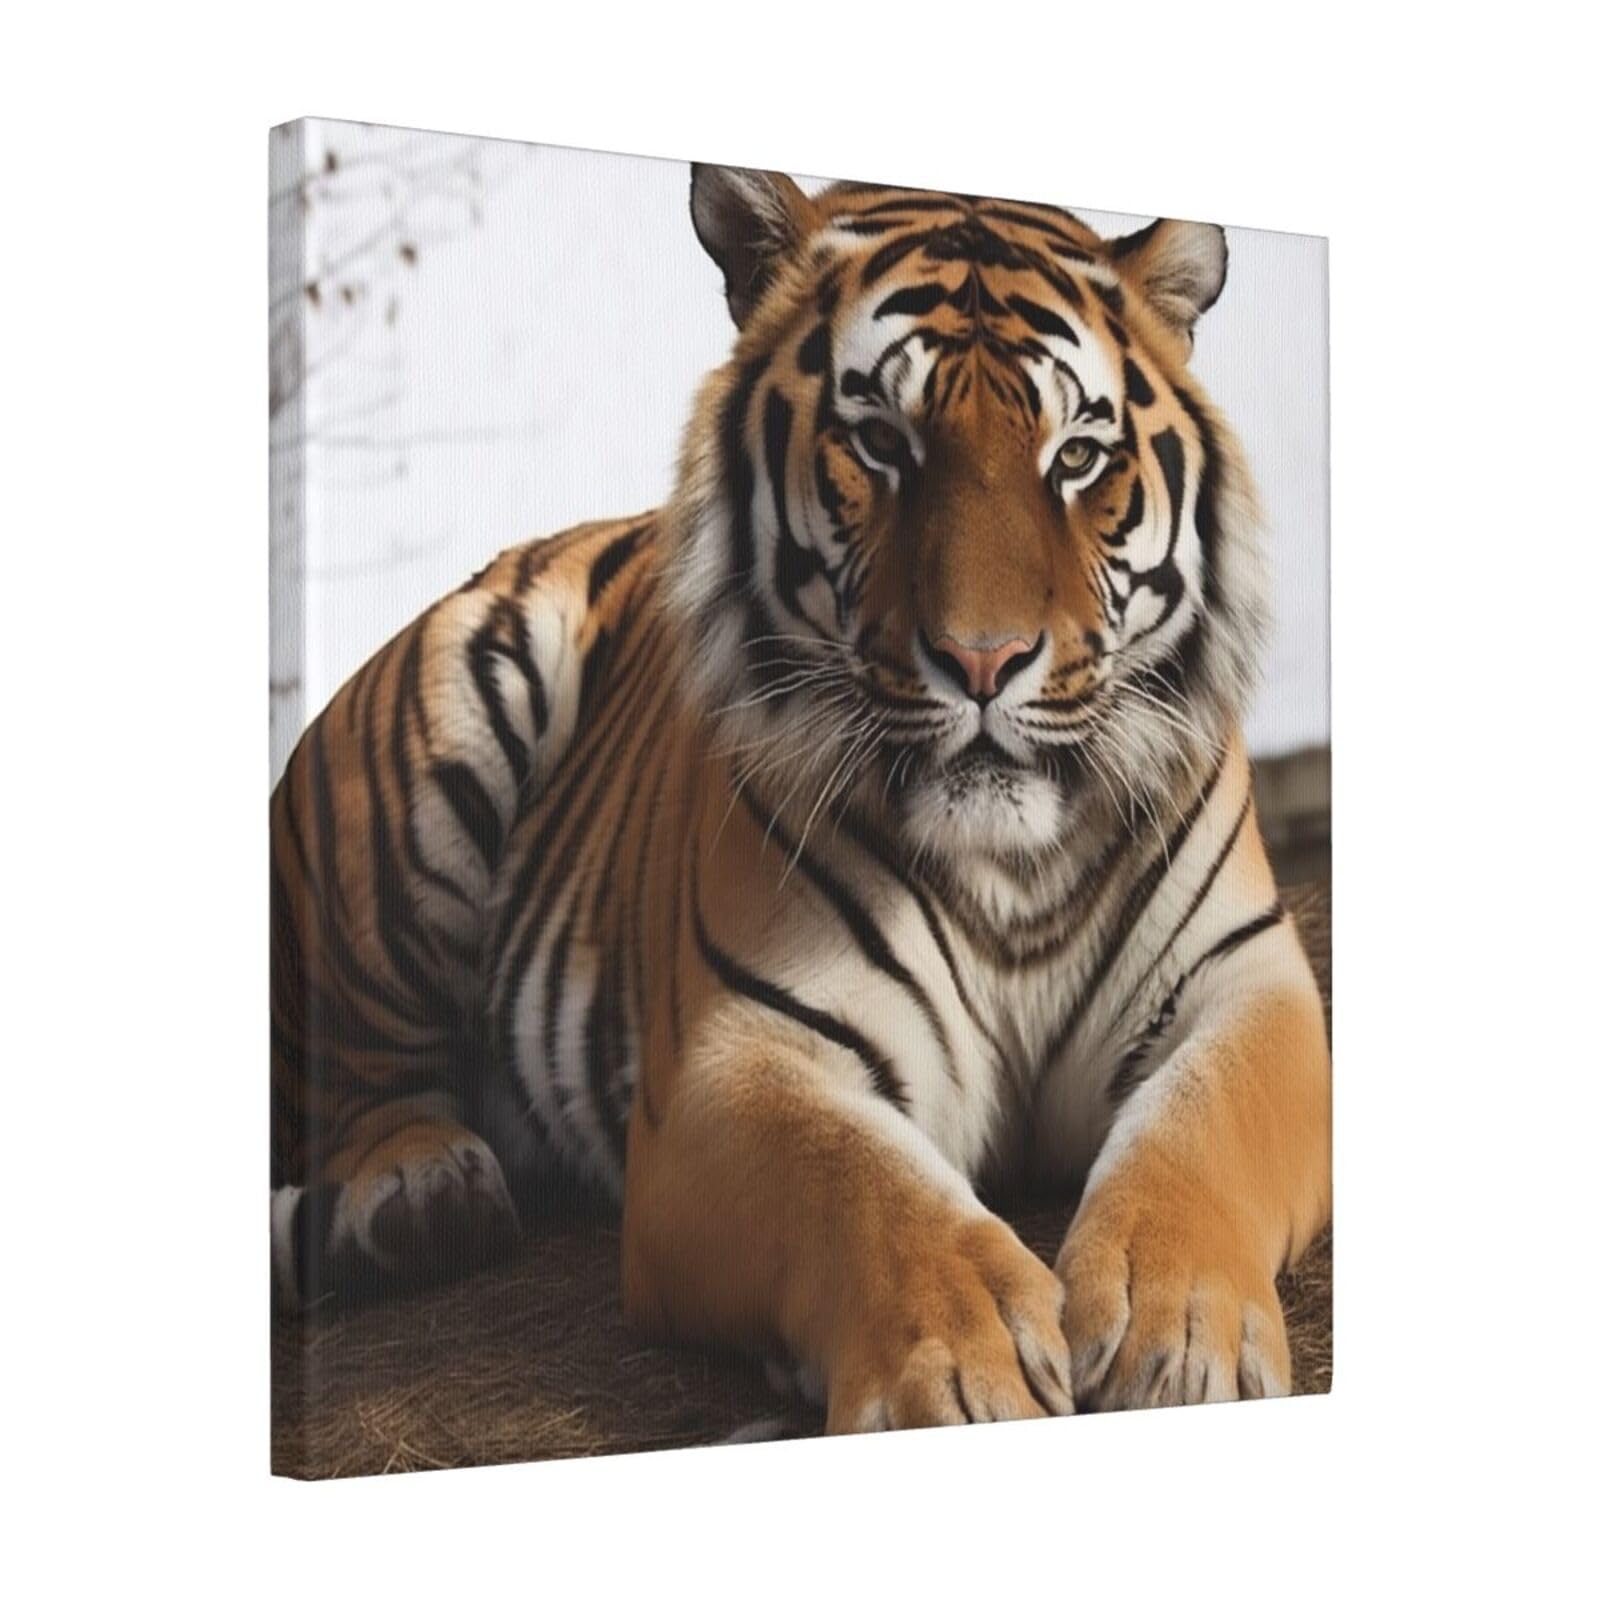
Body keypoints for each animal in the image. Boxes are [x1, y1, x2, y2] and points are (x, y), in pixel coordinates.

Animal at [270, 163, 1331, 1427]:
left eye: (1075, 456)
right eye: (879, 442)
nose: (982, 661)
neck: (1011, 871)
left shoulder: (1247, 985)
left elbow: (1200, 1128)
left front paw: (1178, 1337)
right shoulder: (736, 1057)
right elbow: (863, 1186)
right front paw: (958, 1371)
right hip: (422, 756)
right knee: (356, 1073)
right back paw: (419, 1192)